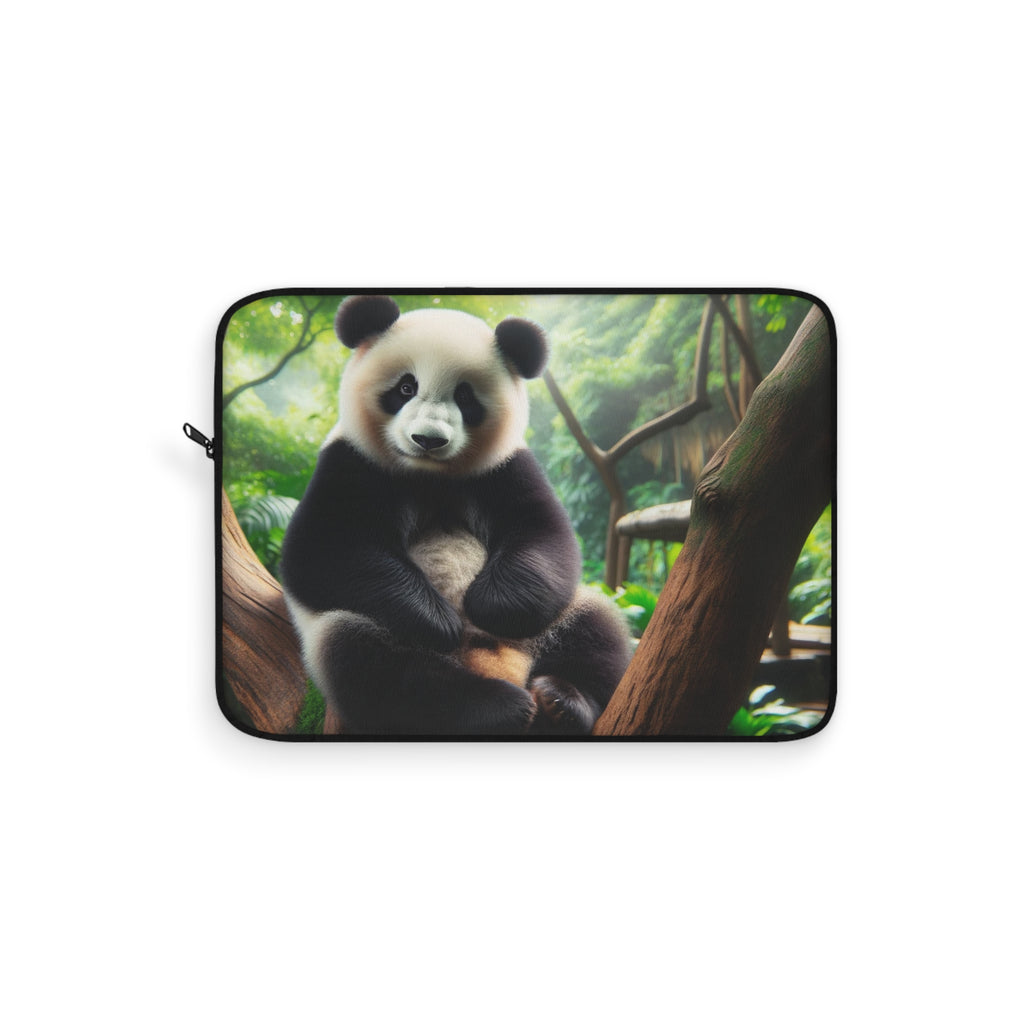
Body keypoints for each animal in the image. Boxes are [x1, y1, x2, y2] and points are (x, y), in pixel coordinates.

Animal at [280, 295, 632, 736]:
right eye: (406, 387)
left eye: (466, 397)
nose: (428, 440)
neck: (430, 475)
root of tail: (501, 668)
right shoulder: (351, 462)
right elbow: (319, 551)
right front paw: (441, 620)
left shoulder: (504, 468)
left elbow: (544, 537)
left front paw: (485, 605)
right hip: (361, 632)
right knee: (376, 668)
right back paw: (493, 707)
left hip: (559, 619)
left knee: (596, 629)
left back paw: (563, 701)